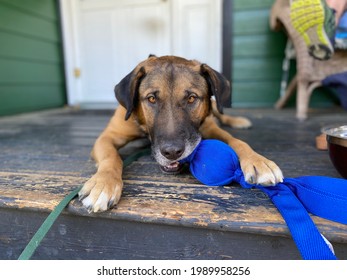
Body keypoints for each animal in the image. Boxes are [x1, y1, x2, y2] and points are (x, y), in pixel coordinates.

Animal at [79, 54, 286, 212]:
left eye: (192, 98)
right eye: (151, 99)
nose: (172, 152)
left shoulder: (209, 127)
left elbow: (236, 141)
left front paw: (258, 161)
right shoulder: (107, 137)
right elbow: (111, 157)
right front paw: (103, 183)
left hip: (214, 108)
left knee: (220, 112)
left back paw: (238, 121)